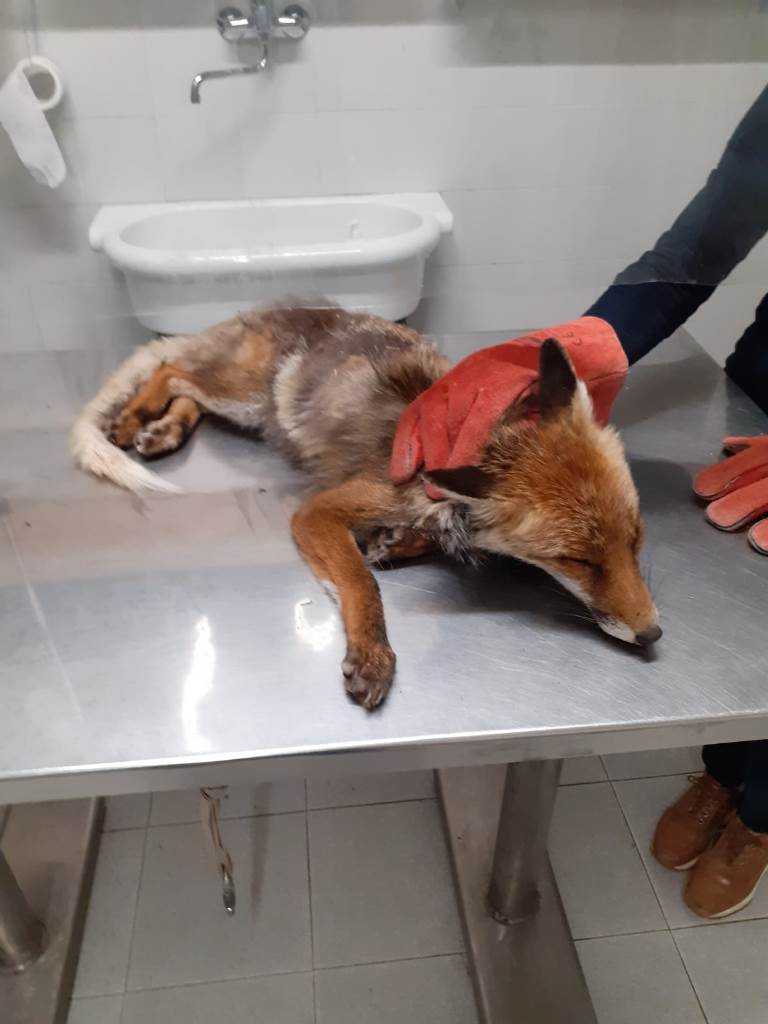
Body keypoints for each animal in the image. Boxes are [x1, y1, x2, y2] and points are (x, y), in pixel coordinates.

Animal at [72, 305, 660, 710]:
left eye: (636, 540)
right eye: (580, 562)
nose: (652, 634)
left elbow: (418, 541)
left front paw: (398, 543)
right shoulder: (321, 510)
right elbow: (362, 583)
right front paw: (373, 654)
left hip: (247, 407)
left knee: (188, 391)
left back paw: (163, 428)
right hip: (246, 394)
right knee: (172, 368)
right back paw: (136, 415)